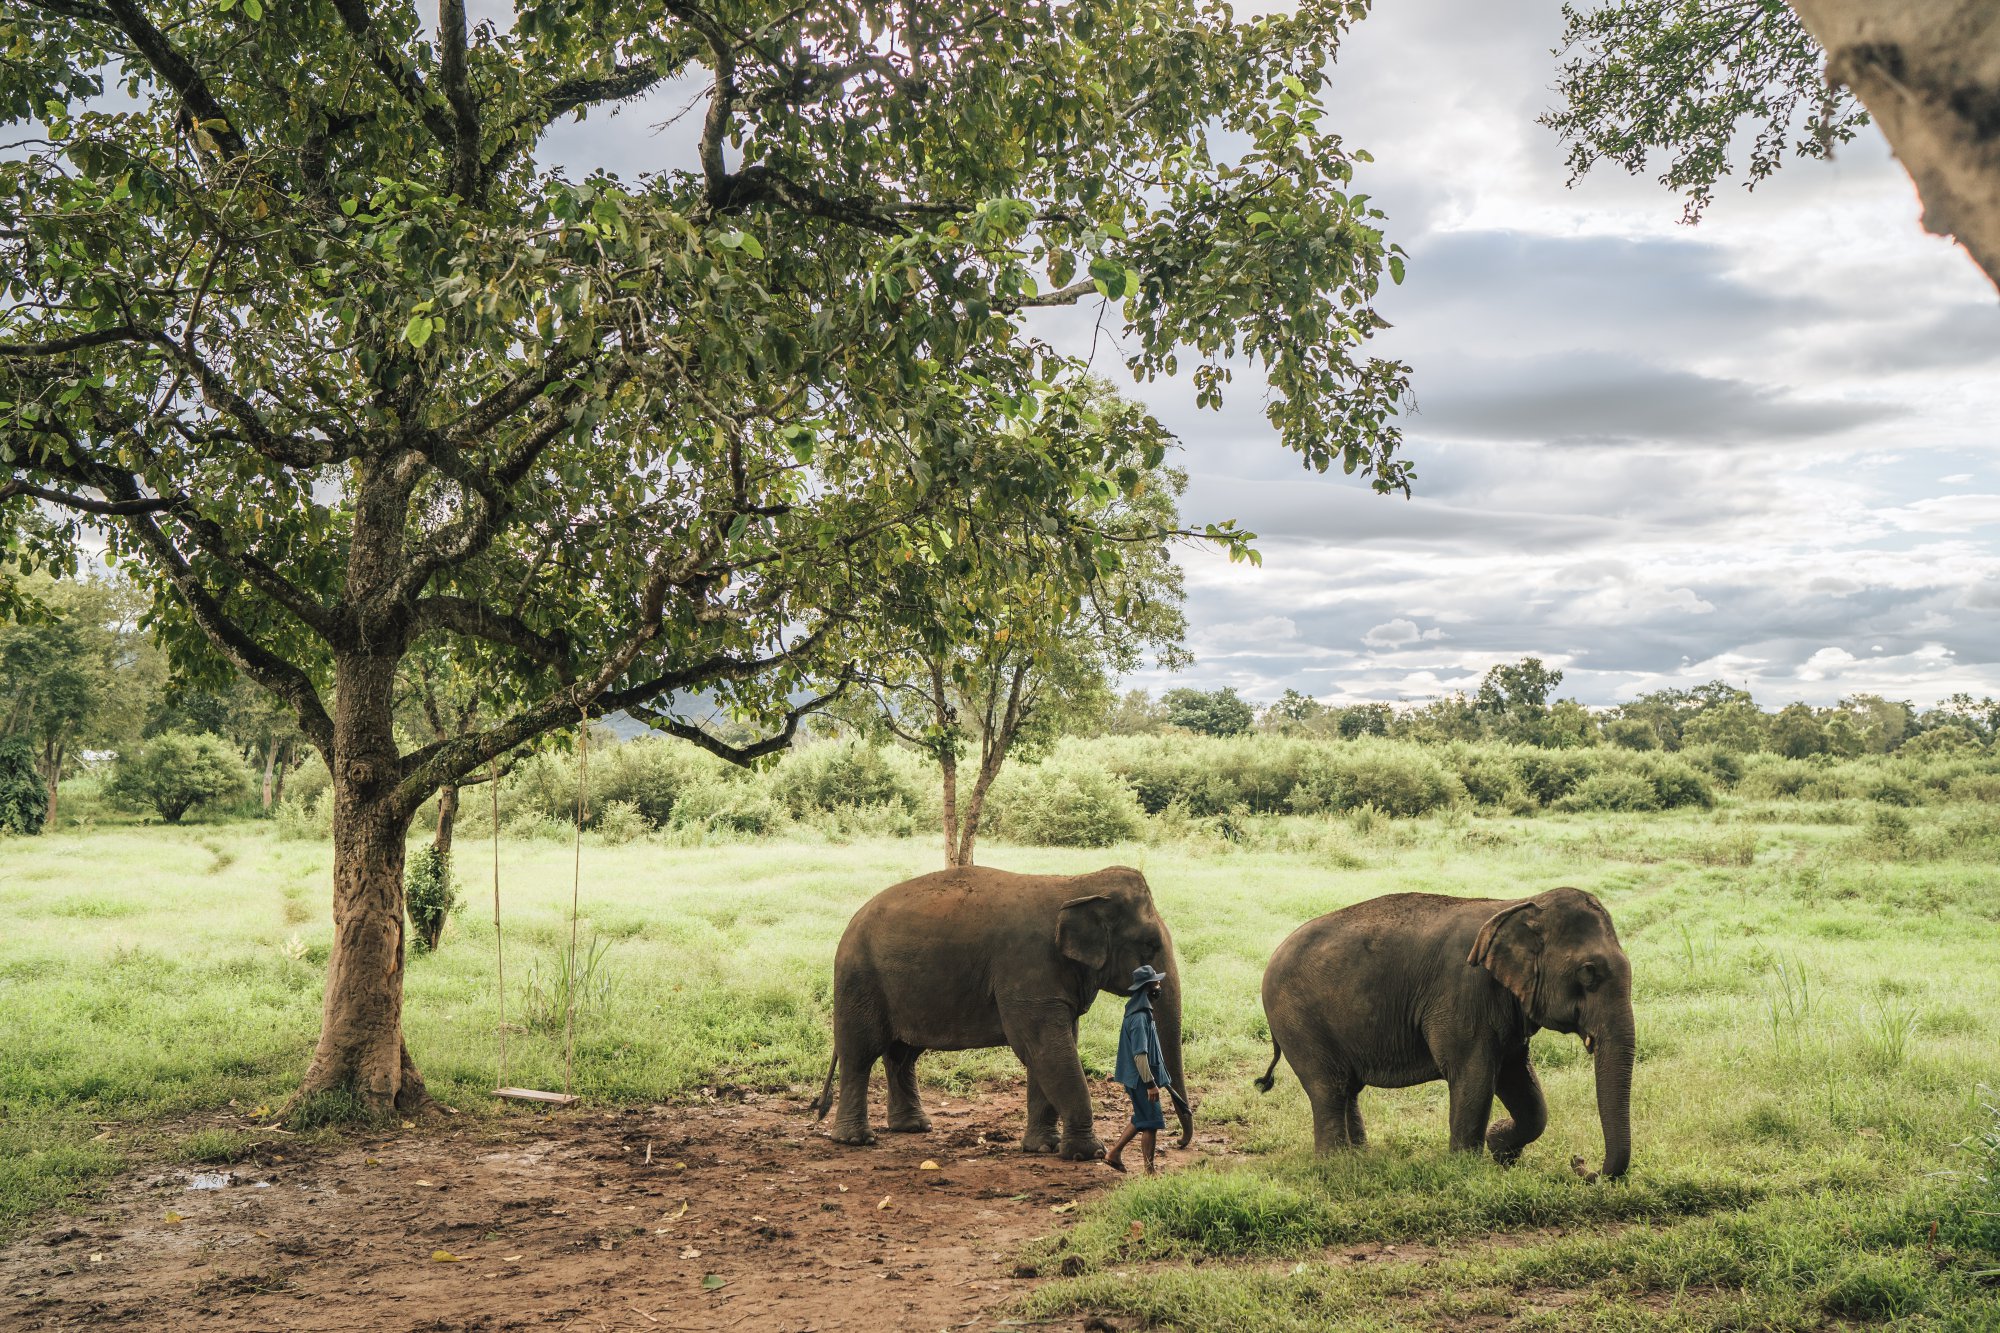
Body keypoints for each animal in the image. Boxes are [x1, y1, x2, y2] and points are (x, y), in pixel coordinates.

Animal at [808, 860, 1192, 1152]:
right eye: (1150, 944)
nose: (1178, 1142)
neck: (1074, 883)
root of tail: (851, 922)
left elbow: (1050, 1051)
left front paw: (1044, 1147)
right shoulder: (1028, 969)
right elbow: (1045, 1049)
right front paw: (1087, 1153)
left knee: (902, 1054)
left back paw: (913, 1127)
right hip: (859, 981)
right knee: (860, 1053)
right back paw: (856, 1140)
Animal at [1256, 880, 1632, 1176]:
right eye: (1589, 973)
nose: (1580, 1163)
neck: (1518, 905)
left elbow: (1519, 1082)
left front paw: (1499, 1148)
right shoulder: (1464, 995)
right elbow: (1474, 1073)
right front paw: (1467, 1168)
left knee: (1347, 1088)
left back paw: (1360, 1157)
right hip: (1298, 1021)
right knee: (1328, 1088)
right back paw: (1337, 1166)